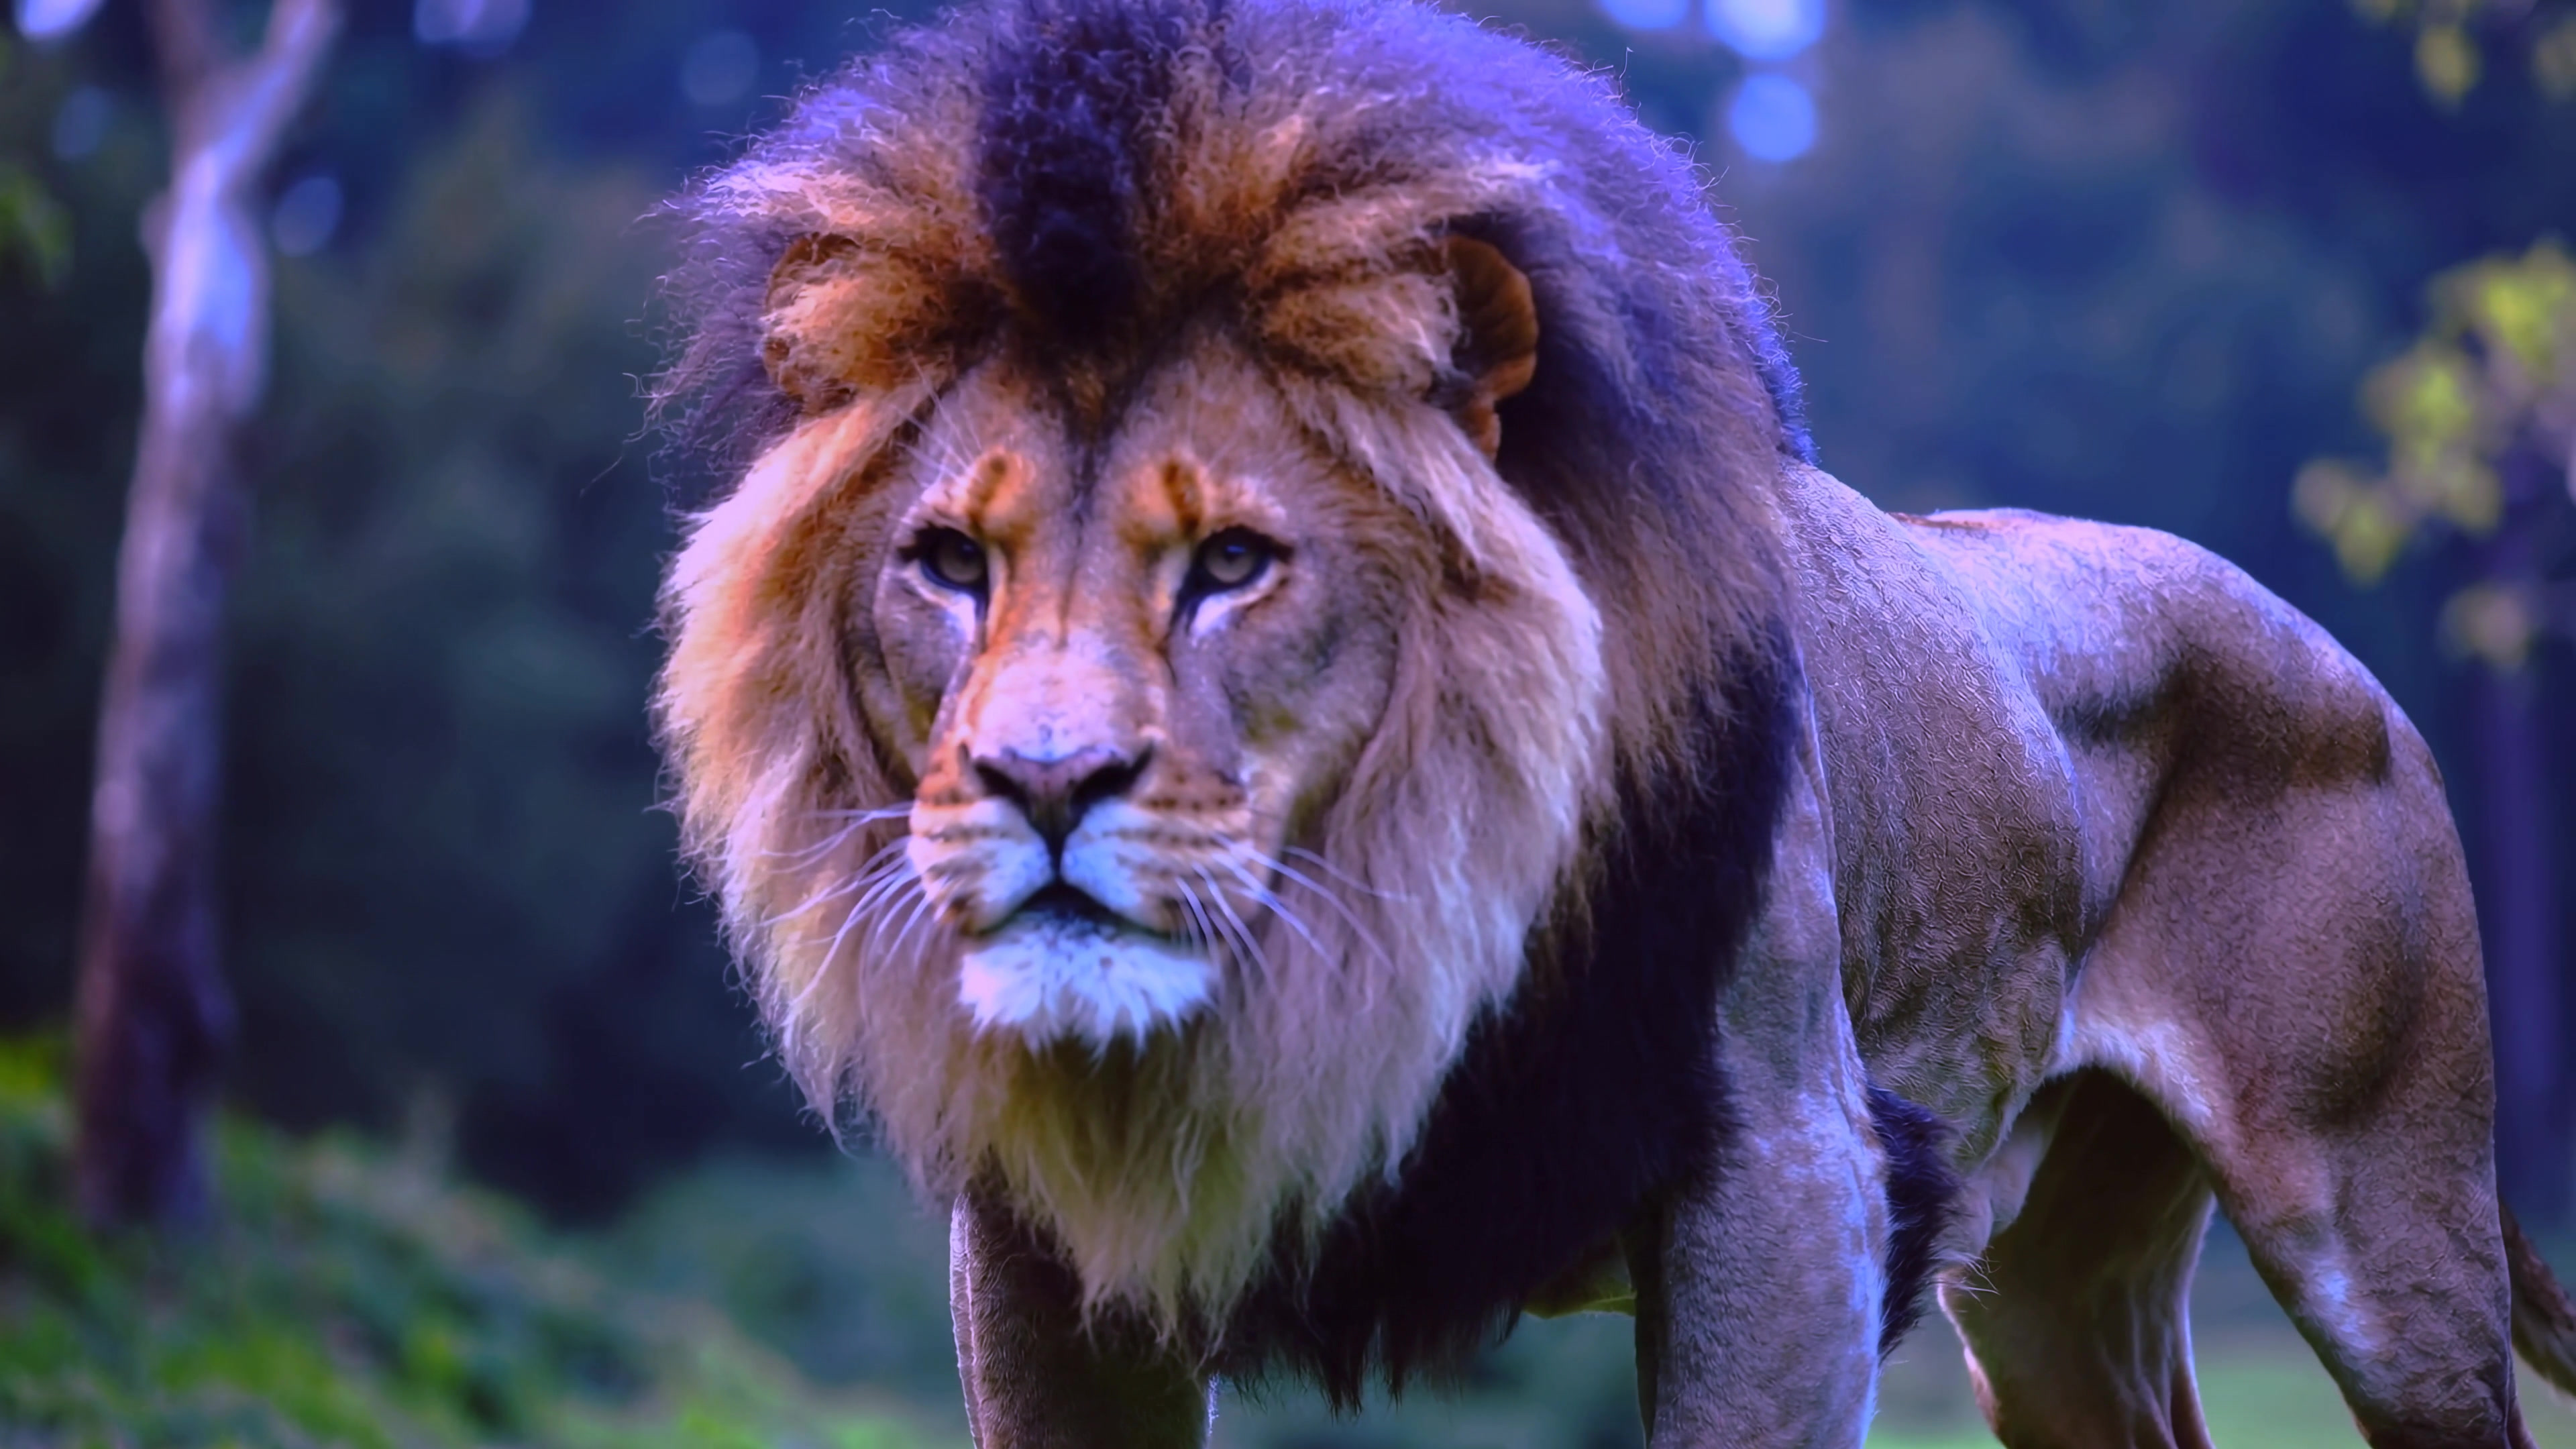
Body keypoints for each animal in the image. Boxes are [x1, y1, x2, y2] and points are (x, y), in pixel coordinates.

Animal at [649, 0, 2576, 1440]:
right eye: (949, 564)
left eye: (1235, 563)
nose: (1044, 785)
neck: (1375, 917)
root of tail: (2337, 654)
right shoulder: (1045, 1254)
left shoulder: (1789, 1176)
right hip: (2052, 1292)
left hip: (2380, 1235)